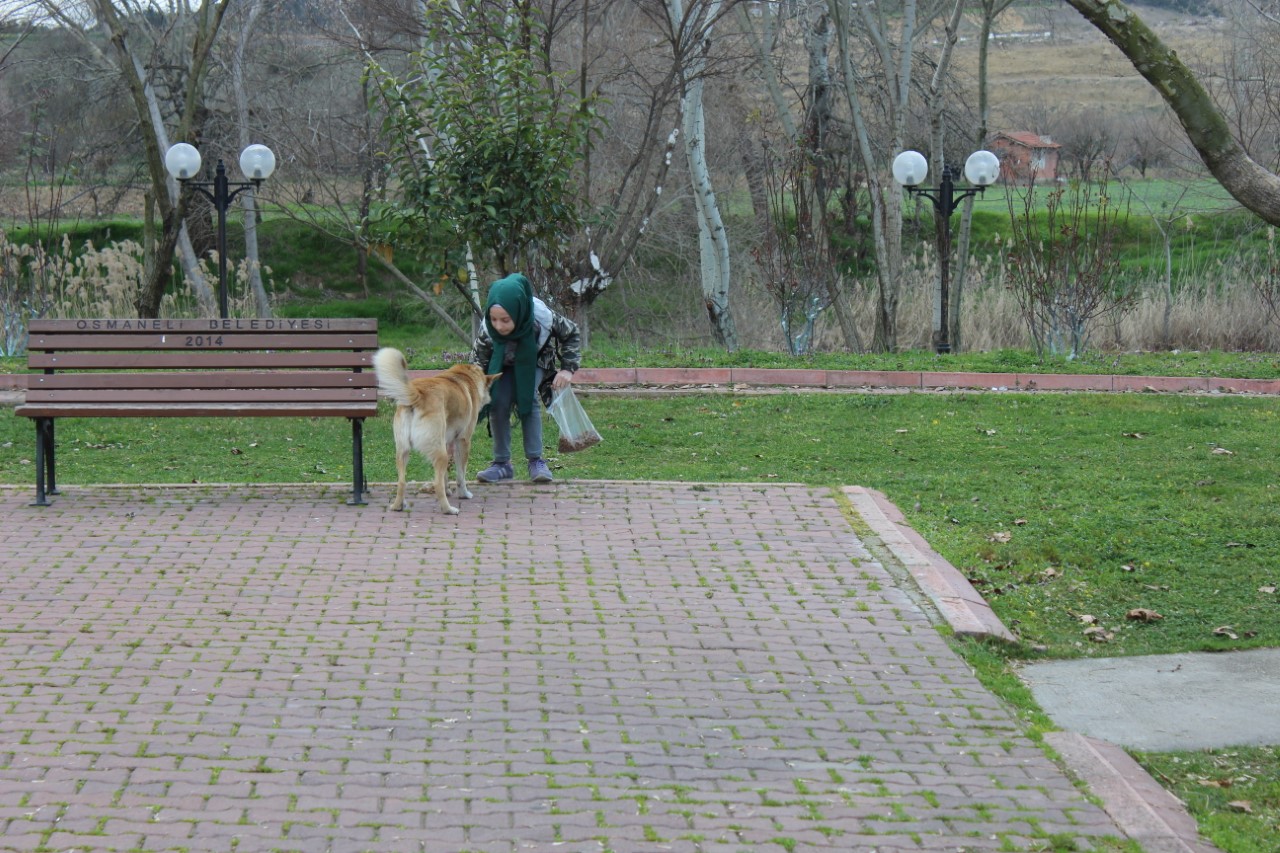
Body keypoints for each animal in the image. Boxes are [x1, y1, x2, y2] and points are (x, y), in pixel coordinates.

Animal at [371, 345, 499, 512]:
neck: (464, 376)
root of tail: (417, 394)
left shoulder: (447, 442)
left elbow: (446, 475)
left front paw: (449, 490)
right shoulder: (463, 441)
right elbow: (460, 475)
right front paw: (463, 494)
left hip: (403, 451)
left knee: (402, 481)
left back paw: (398, 505)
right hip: (440, 453)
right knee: (437, 484)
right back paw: (448, 509)